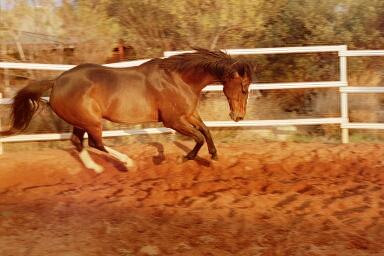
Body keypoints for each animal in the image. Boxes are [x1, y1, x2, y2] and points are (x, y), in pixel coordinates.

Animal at [0, 48, 252, 172]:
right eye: (244, 87)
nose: (238, 117)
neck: (178, 78)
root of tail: (57, 82)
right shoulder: (172, 121)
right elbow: (198, 137)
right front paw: (184, 158)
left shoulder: (188, 114)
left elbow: (206, 130)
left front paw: (214, 156)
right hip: (91, 121)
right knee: (96, 143)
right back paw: (128, 163)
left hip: (80, 121)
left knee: (77, 142)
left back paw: (95, 169)